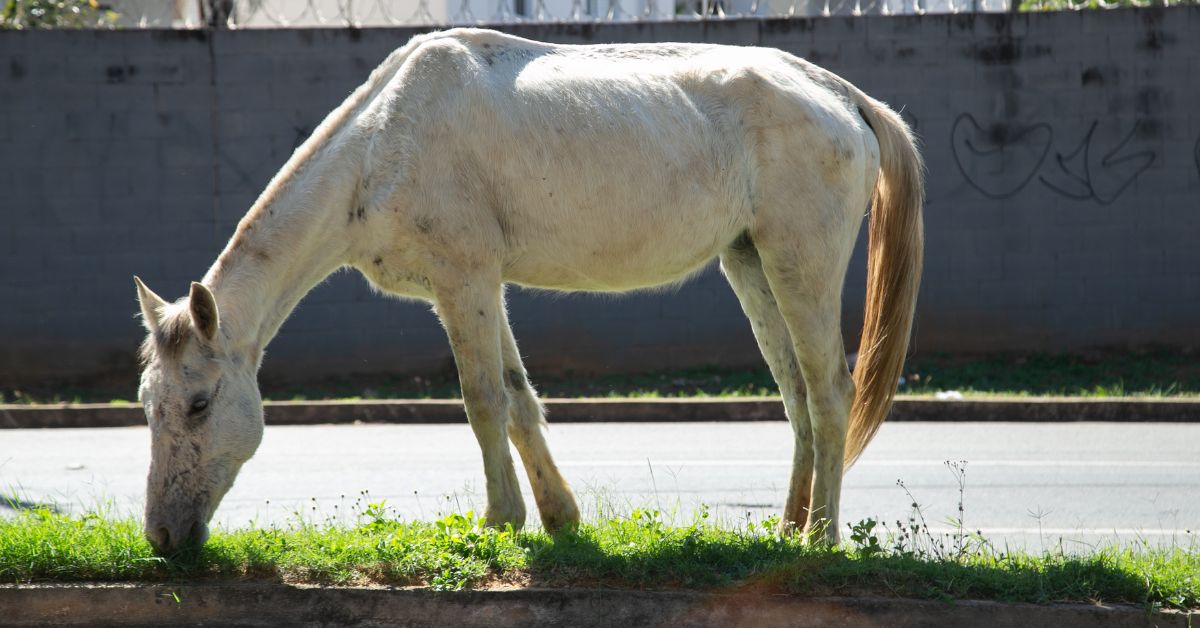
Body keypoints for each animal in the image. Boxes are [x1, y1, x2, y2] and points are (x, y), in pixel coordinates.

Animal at [133, 27, 923, 554]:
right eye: (148, 403)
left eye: (199, 404)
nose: (164, 538)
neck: (383, 142)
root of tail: (843, 97)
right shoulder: (481, 290)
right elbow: (519, 401)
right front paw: (559, 517)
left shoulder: (465, 284)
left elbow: (484, 401)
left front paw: (500, 521)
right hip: (752, 265)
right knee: (795, 394)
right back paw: (788, 528)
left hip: (800, 267)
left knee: (830, 393)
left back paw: (821, 537)